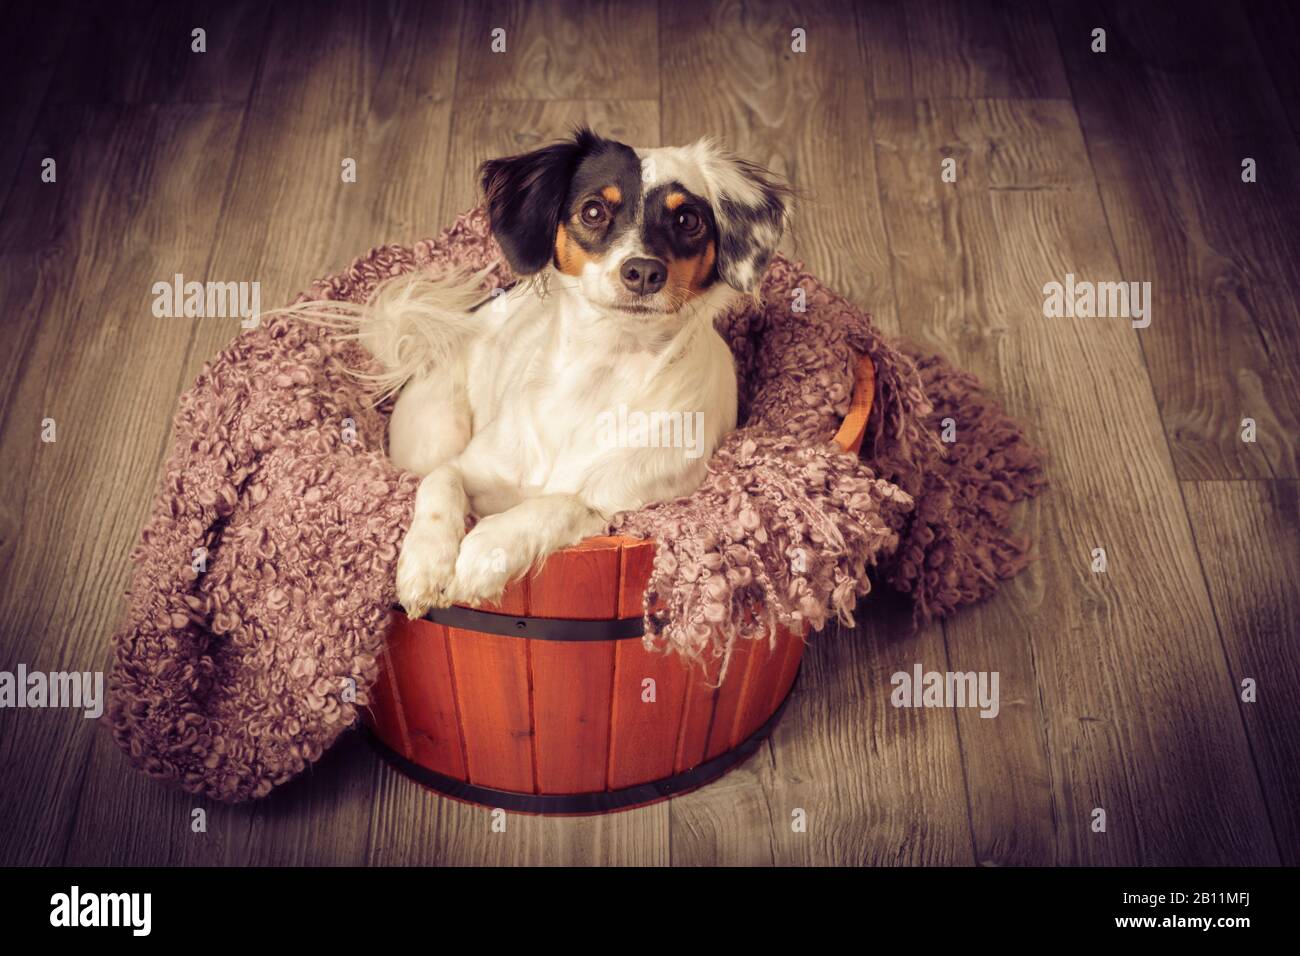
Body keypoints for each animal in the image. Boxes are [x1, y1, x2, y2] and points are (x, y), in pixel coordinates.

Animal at [353, 128, 790, 621]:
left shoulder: (622, 507)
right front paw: (426, 564)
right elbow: (439, 484)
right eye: (593, 211)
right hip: (435, 431)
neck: (600, 374)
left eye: (687, 219)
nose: (643, 272)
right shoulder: (466, 465)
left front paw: (484, 554)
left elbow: (555, 505)